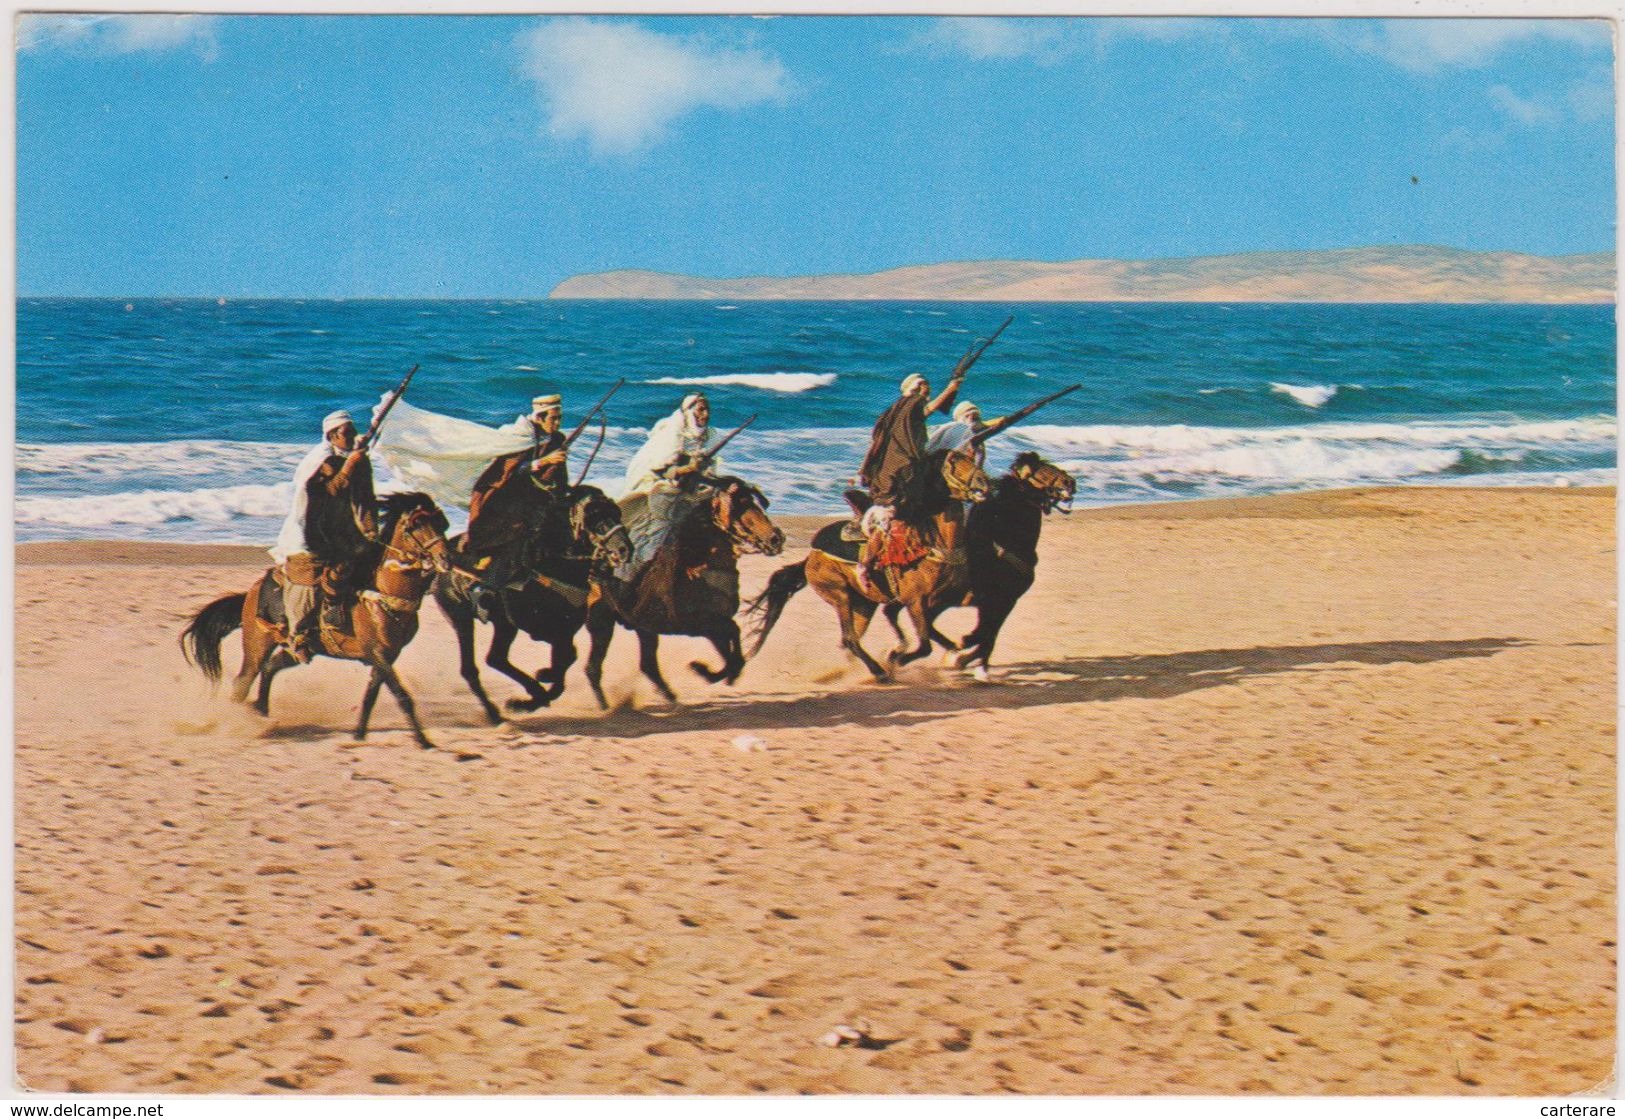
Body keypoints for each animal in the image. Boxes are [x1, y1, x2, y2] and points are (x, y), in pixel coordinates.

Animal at [180, 490, 455, 747]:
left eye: (442, 523)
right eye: (416, 525)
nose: (446, 559)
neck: (383, 595)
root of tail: (253, 592)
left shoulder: (388, 654)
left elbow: (371, 695)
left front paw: (359, 734)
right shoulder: (377, 652)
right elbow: (401, 694)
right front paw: (424, 741)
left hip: (297, 648)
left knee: (270, 669)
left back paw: (262, 712)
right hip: (257, 644)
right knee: (243, 681)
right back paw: (242, 723)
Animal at [432, 483, 633, 721]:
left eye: (616, 512)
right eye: (594, 517)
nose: (624, 549)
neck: (554, 563)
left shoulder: (563, 631)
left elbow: (567, 660)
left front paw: (537, 688)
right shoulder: (544, 630)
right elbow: (566, 659)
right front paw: (535, 690)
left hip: (504, 625)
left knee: (496, 658)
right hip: (461, 617)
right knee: (472, 667)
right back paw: (496, 713)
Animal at [585, 474, 786, 708]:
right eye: (741, 505)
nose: (776, 538)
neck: (699, 573)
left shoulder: (714, 626)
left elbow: (732, 648)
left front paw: (715, 673)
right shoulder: (699, 625)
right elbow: (733, 639)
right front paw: (703, 670)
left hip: (643, 629)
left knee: (645, 665)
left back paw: (669, 697)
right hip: (602, 621)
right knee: (595, 667)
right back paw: (607, 707)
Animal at [744, 448, 988, 682]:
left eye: (972, 458)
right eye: (953, 461)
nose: (984, 481)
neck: (933, 545)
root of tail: (811, 556)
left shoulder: (951, 597)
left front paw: (956, 654)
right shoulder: (915, 601)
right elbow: (925, 643)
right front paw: (896, 658)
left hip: (864, 604)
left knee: (853, 638)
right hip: (839, 594)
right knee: (850, 638)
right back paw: (879, 672)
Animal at [884, 448, 1072, 675]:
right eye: (1042, 471)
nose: (1070, 483)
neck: (1005, 541)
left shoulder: (997, 602)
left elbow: (987, 636)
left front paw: (965, 659)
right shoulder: (1000, 600)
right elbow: (986, 635)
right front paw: (966, 657)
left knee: (901, 615)